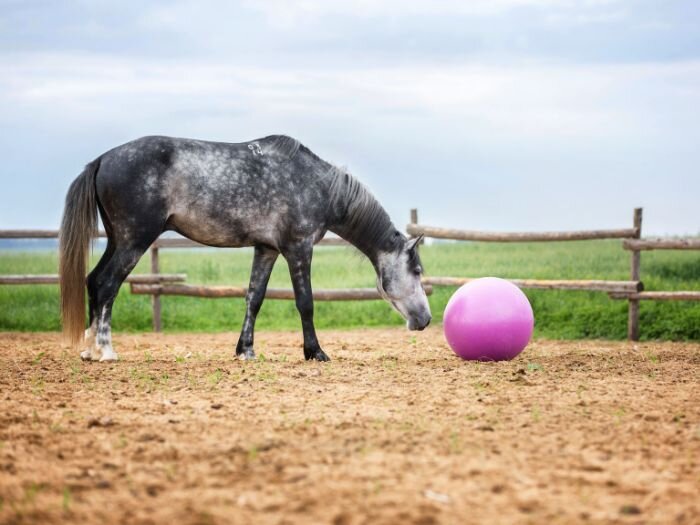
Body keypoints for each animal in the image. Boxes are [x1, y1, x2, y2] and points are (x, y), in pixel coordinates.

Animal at [59, 135, 432, 362]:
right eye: (416, 270)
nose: (426, 319)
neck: (318, 185)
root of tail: (103, 159)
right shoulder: (298, 249)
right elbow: (306, 303)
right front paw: (315, 352)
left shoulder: (265, 249)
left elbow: (254, 297)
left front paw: (245, 350)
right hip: (134, 240)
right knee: (107, 284)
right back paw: (106, 350)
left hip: (117, 239)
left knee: (94, 281)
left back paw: (89, 350)